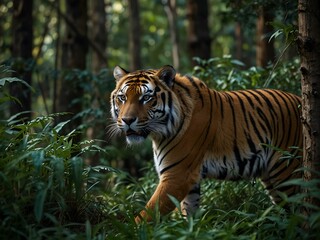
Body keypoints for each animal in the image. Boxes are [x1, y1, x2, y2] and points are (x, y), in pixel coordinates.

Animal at [110, 65, 302, 223]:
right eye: (122, 97)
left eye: (146, 98)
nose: (127, 120)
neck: (160, 132)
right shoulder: (190, 180)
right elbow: (188, 212)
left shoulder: (176, 175)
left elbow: (147, 214)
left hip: (286, 171)